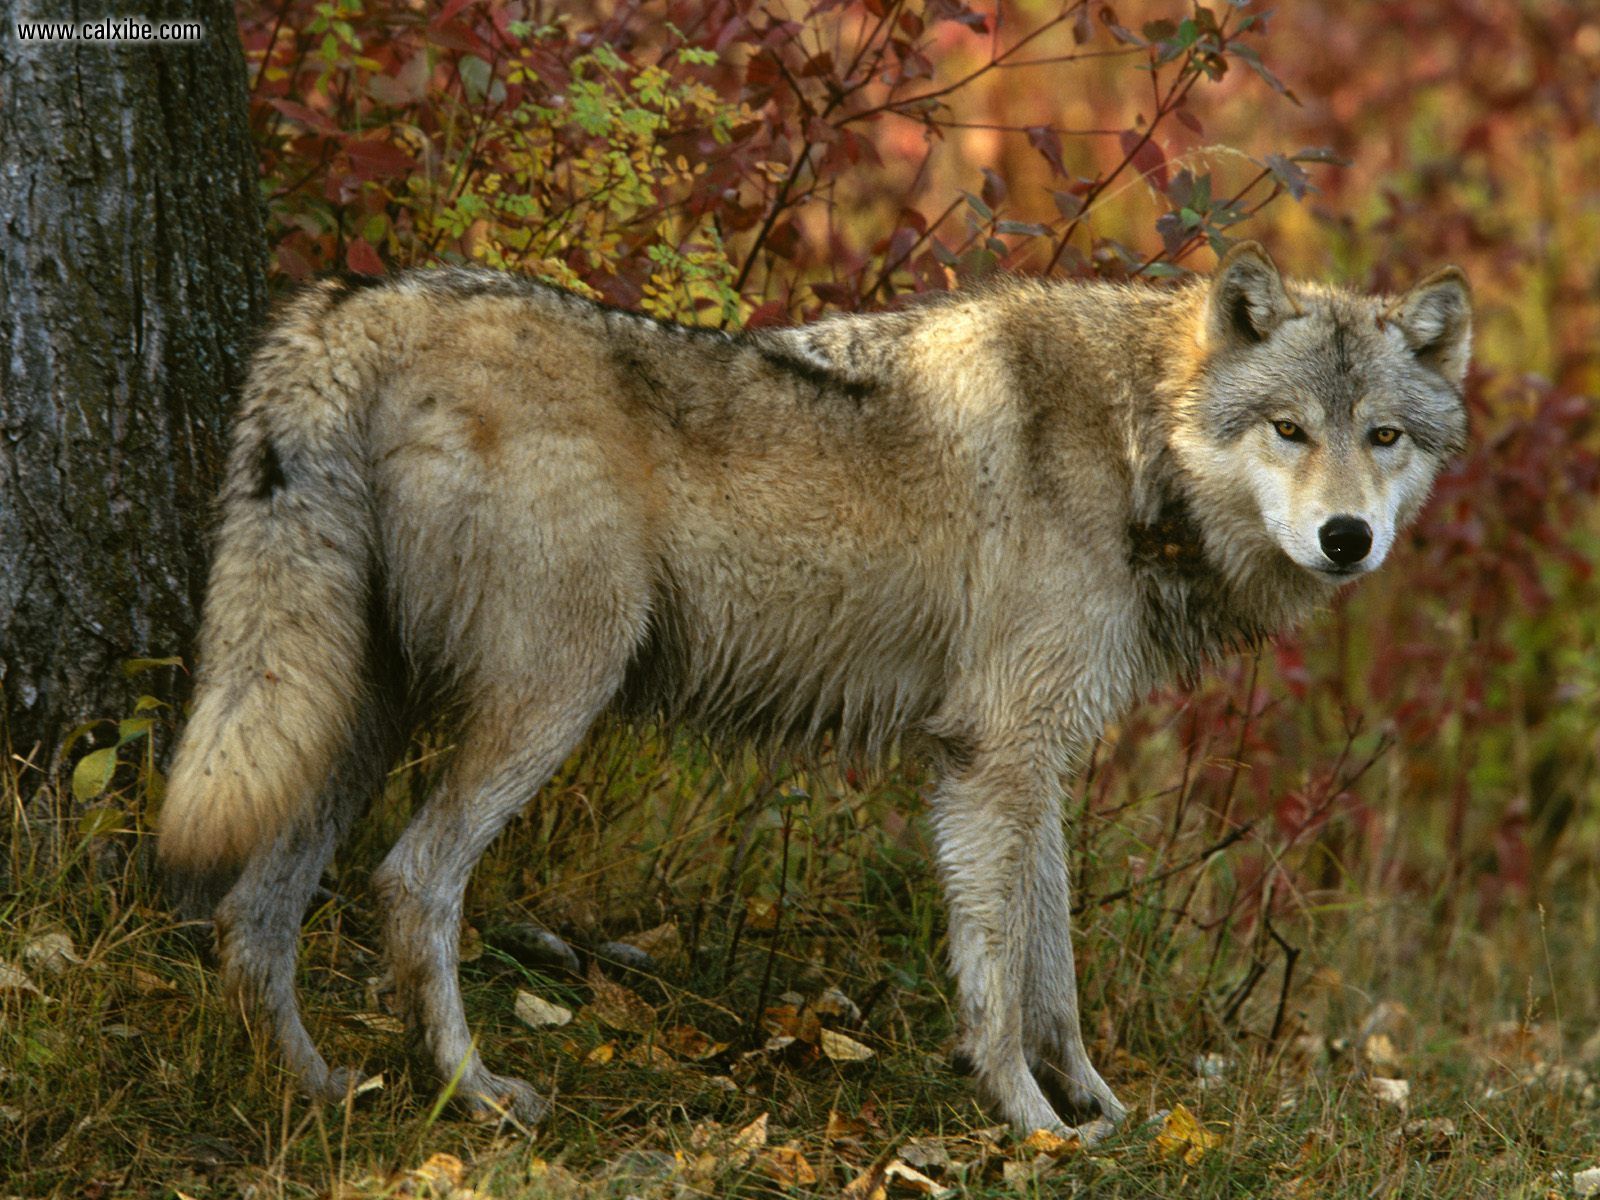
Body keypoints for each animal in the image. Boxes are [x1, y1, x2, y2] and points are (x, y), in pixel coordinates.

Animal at [157, 242, 1470, 1137]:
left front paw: (1101, 1112)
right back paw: (471, 1095)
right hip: (546, 700)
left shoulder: (1026, 761)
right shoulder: (994, 758)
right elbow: (1001, 984)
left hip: (350, 718)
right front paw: (1032, 1126)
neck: (1134, 441)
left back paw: (315, 1088)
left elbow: (1052, 972)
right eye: (1289, 429)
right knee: (411, 880)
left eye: (1385, 437)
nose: (1347, 539)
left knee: (252, 915)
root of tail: (357, 303)